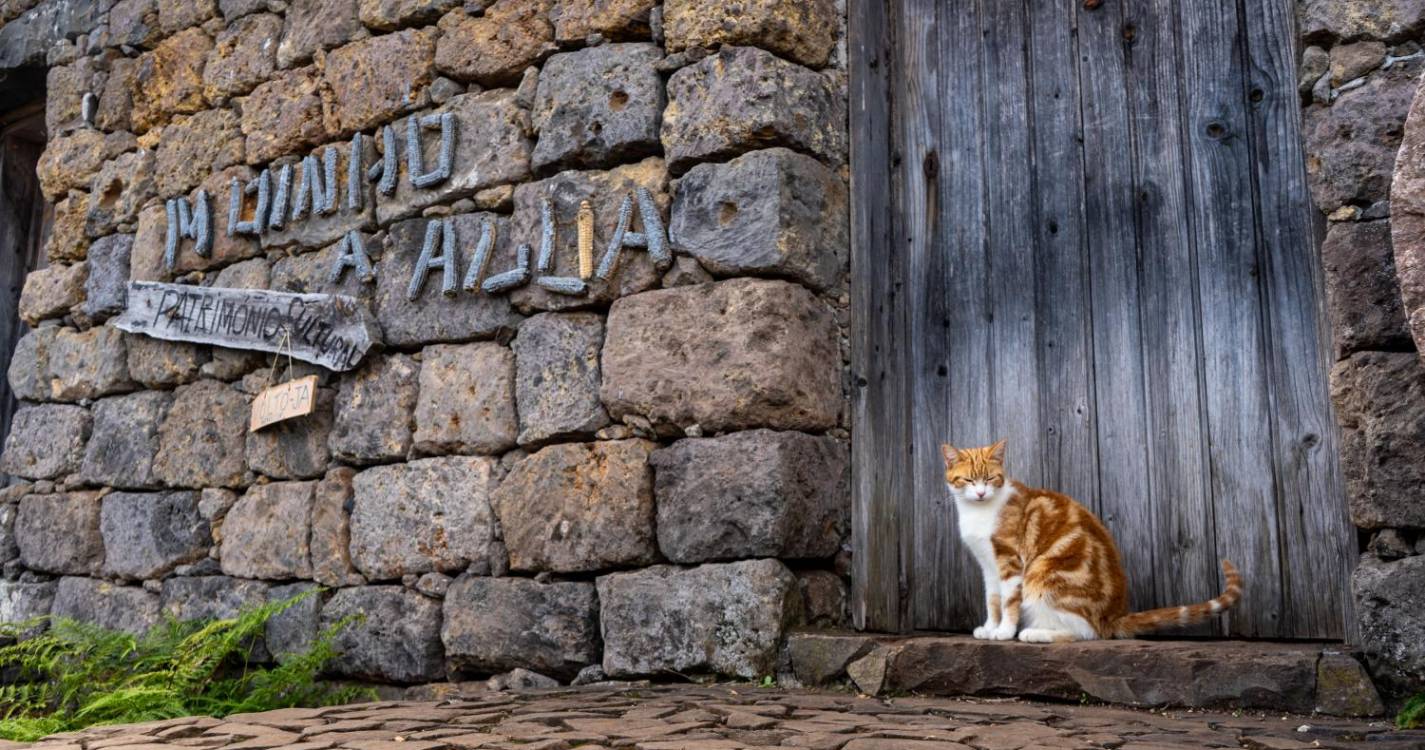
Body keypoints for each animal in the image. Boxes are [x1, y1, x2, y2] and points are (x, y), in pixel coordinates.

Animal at [946, 442, 1236, 647]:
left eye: (990, 478)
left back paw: (1036, 634)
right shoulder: (988, 565)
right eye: (969, 480)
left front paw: (1004, 632)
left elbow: (1008, 601)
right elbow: (993, 600)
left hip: (1042, 576)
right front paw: (990, 628)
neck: (979, 511)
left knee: (1086, 632)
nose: (981, 493)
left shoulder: (1009, 561)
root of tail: (1111, 618)